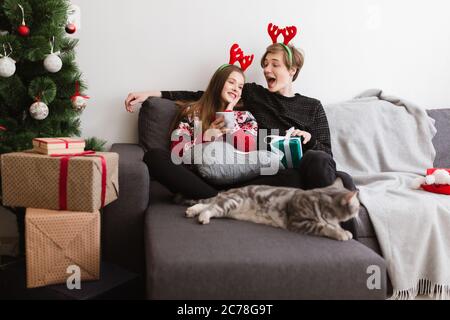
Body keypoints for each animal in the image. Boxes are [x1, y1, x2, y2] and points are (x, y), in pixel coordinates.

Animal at [185, 179, 360, 241]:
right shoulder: (298, 222)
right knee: (211, 208)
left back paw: (192, 211)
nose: (359, 212)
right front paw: (341, 234)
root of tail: (230, 189)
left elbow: (332, 225)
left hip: (228, 204)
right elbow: (324, 227)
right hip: (233, 201)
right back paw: (202, 217)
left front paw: (343, 230)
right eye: (357, 206)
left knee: (206, 204)